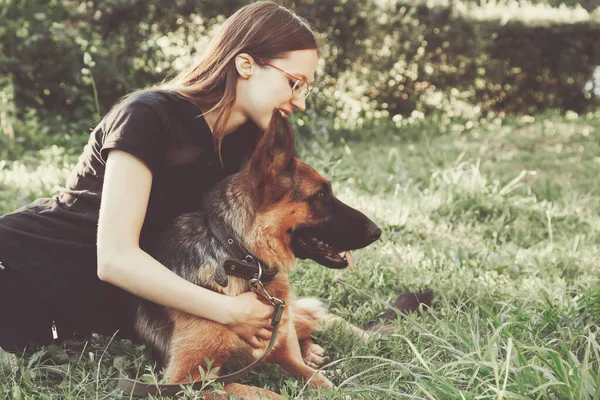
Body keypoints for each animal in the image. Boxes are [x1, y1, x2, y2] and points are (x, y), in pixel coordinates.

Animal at [135, 110, 380, 400]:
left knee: (317, 317)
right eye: (321, 195)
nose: (377, 231)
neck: (240, 259)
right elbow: (270, 394)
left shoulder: (282, 353)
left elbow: (323, 383)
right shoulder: (187, 382)